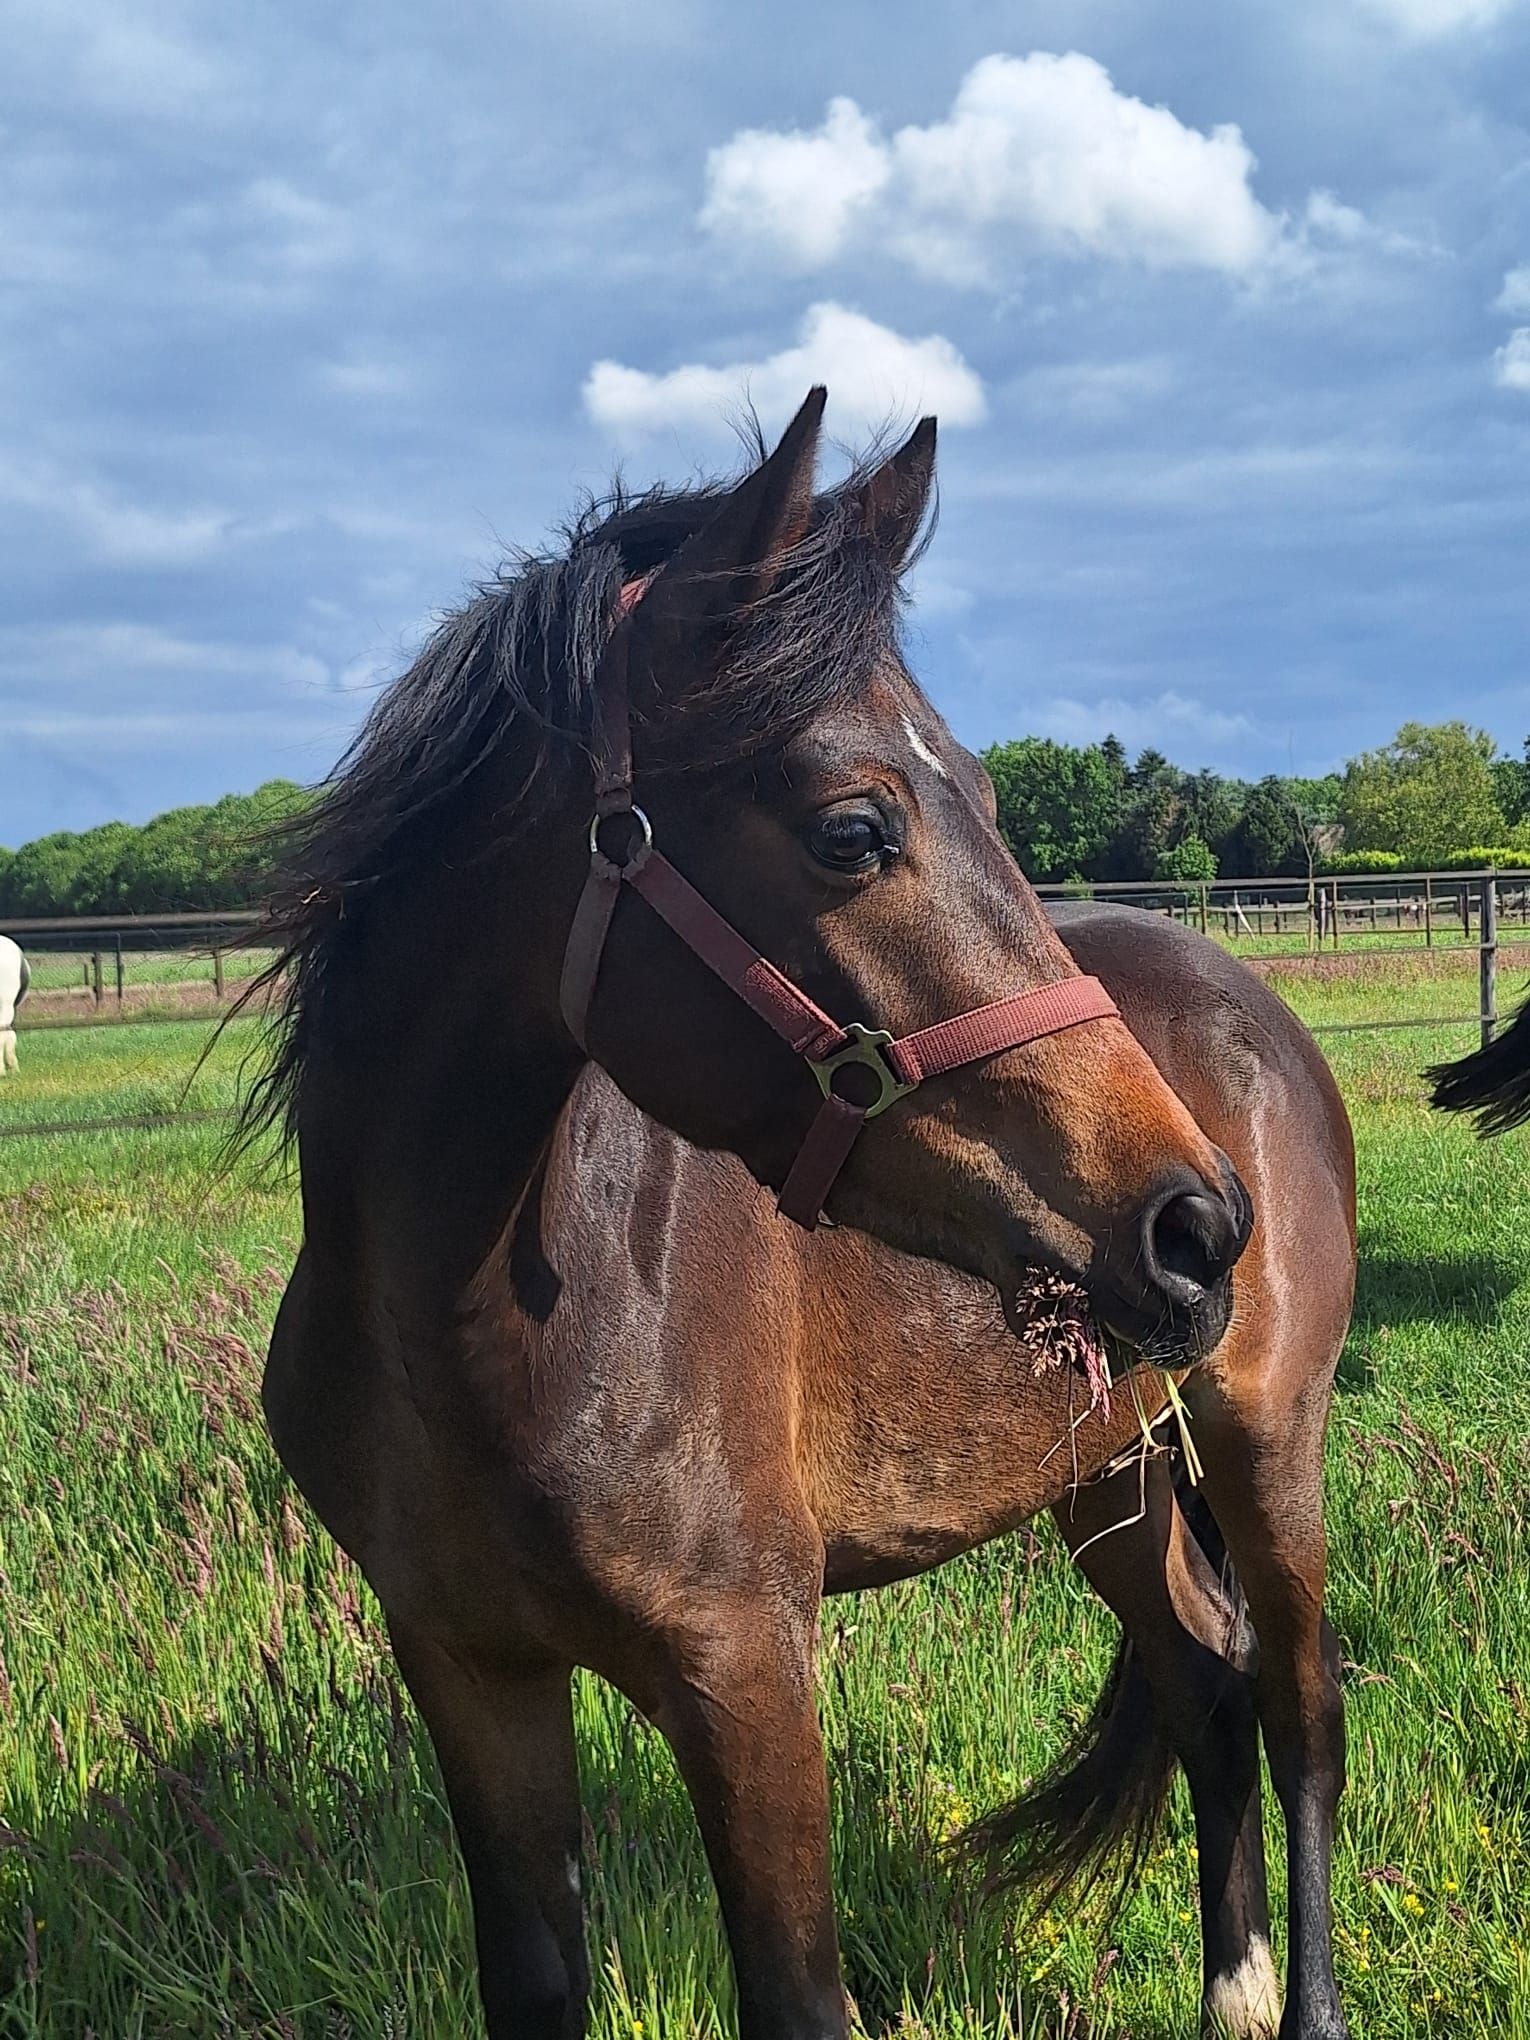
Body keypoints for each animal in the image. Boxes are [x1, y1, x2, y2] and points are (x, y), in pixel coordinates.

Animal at [244, 393, 1352, 2038]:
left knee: (1298, 1711)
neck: (466, 1321)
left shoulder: (747, 1669)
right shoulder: (468, 1670)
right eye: (851, 830)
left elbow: (796, 1994)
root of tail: (1253, 1009)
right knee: (1205, 1686)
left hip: (1261, 1434)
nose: (1195, 1225)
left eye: (991, 799)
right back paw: (1232, 1989)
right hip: (1105, 1470)